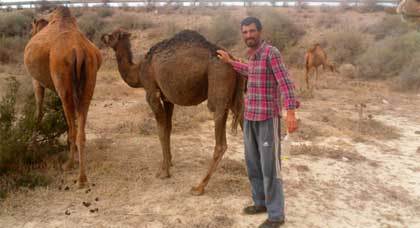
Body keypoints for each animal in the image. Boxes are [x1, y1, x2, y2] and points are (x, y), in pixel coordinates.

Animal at [23, 6, 102, 187]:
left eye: (32, 27)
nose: (30, 32)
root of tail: (78, 51)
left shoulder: (36, 81)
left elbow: (39, 111)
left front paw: (32, 147)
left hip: (63, 81)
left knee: (72, 125)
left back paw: (71, 167)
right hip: (89, 81)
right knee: (79, 128)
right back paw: (81, 176)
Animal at [101, 28, 244, 195]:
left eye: (111, 36)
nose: (102, 37)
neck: (138, 70)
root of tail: (234, 59)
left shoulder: (152, 93)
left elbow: (161, 131)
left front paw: (164, 172)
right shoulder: (167, 98)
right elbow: (168, 129)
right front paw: (168, 162)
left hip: (219, 87)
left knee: (221, 143)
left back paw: (199, 187)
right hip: (233, 96)